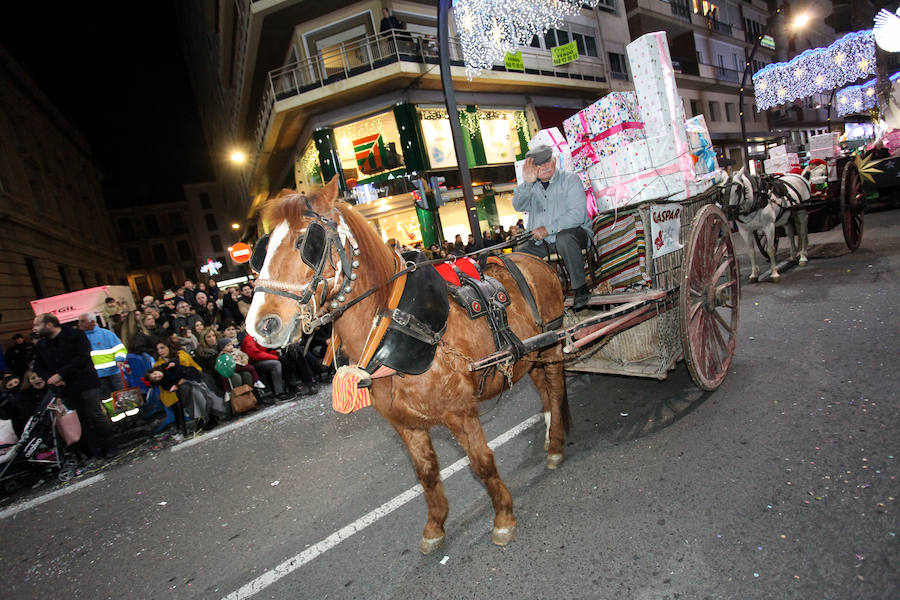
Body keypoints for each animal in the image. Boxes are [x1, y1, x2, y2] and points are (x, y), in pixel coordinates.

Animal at [244, 177, 568, 552]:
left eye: (305, 242)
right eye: (261, 251)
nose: (261, 325)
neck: (397, 324)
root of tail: (534, 258)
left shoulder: (461, 413)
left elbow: (482, 463)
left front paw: (503, 517)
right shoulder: (405, 424)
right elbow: (426, 474)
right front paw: (435, 526)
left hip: (553, 343)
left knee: (555, 389)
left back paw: (556, 444)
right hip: (530, 354)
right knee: (543, 388)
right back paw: (551, 432)